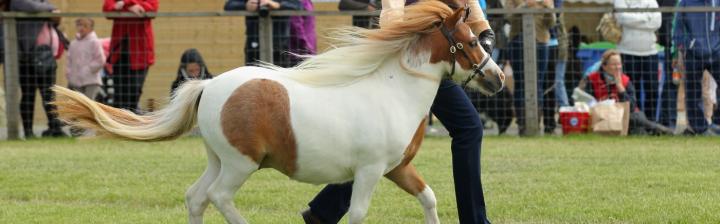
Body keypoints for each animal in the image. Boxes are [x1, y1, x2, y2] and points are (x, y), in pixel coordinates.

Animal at [50, 1, 504, 222]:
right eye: (470, 42)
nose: (497, 79)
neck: (391, 92)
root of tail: (208, 85)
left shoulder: (396, 168)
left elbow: (429, 199)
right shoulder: (370, 171)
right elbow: (357, 213)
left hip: (218, 160)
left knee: (196, 198)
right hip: (240, 164)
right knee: (217, 197)